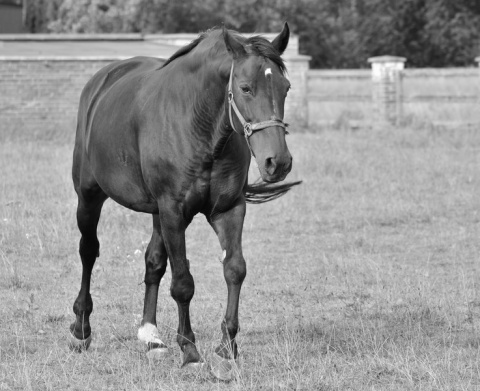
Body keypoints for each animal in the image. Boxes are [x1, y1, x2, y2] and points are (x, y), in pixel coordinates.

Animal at [70, 21, 300, 380]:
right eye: (246, 88)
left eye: (285, 88)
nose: (278, 163)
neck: (200, 126)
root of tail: (100, 81)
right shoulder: (173, 211)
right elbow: (183, 284)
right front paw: (191, 352)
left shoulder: (228, 209)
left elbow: (234, 270)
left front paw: (226, 349)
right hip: (89, 196)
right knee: (88, 252)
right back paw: (81, 329)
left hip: (155, 212)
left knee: (152, 261)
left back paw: (151, 336)